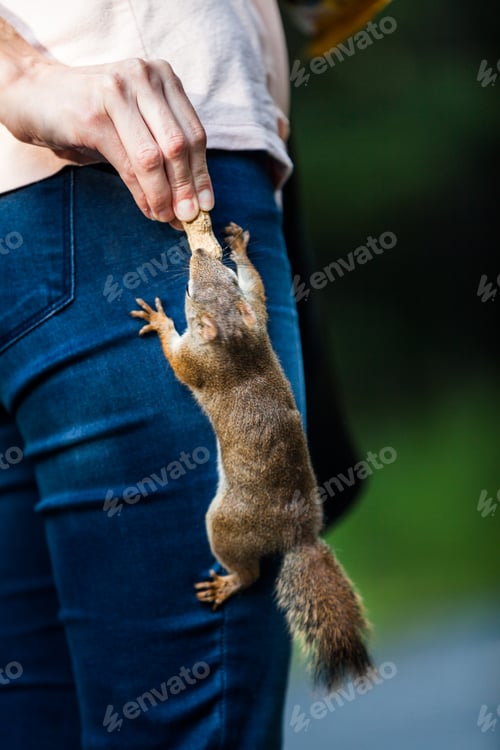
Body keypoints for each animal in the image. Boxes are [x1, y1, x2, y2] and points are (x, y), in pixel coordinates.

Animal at [130, 214, 372, 690]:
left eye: (190, 292)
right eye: (221, 278)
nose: (198, 253)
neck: (236, 339)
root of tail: (298, 535)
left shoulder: (200, 364)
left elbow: (178, 359)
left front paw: (159, 319)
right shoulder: (256, 318)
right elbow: (256, 289)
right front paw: (239, 248)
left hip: (225, 526)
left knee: (250, 572)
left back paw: (228, 584)